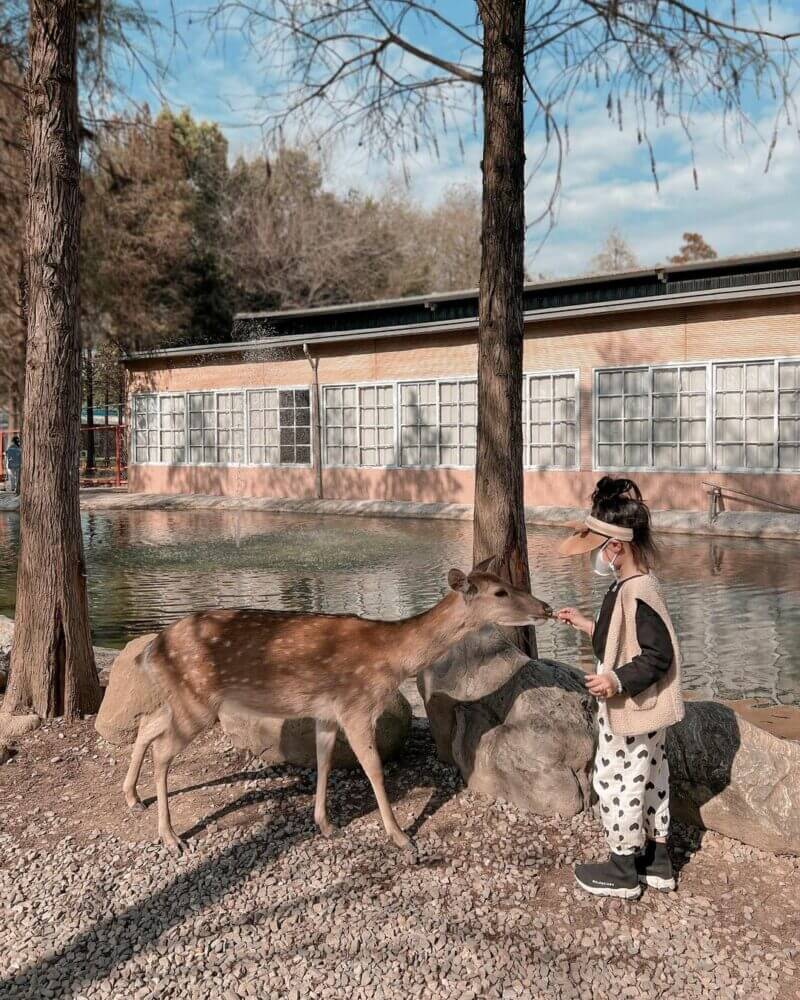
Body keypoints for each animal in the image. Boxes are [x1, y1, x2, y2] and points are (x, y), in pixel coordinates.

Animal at [123, 556, 552, 852]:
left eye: (508, 582)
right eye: (500, 593)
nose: (546, 607)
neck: (392, 660)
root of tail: (151, 649)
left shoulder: (327, 713)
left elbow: (325, 759)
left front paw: (326, 824)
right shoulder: (356, 705)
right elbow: (374, 768)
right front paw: (401, 837)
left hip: (182, 699)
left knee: (147, 724)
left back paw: (132, 797)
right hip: (197, 699)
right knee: (163, 750)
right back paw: (170, 836)